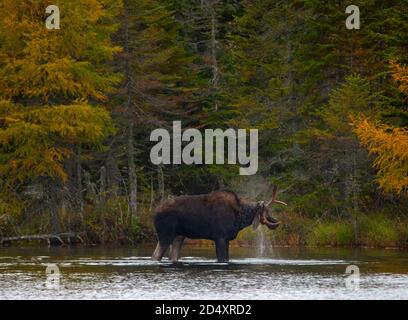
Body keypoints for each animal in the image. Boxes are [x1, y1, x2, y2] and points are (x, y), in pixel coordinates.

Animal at [151, 185, 288, 262]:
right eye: (266, 211)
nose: (276, 222)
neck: (240, 218)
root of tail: (154, 212)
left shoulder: (226, 239)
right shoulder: (220, 237)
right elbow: (222, 258)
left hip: (179, 236)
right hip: (165, 234)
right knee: (156, 255)